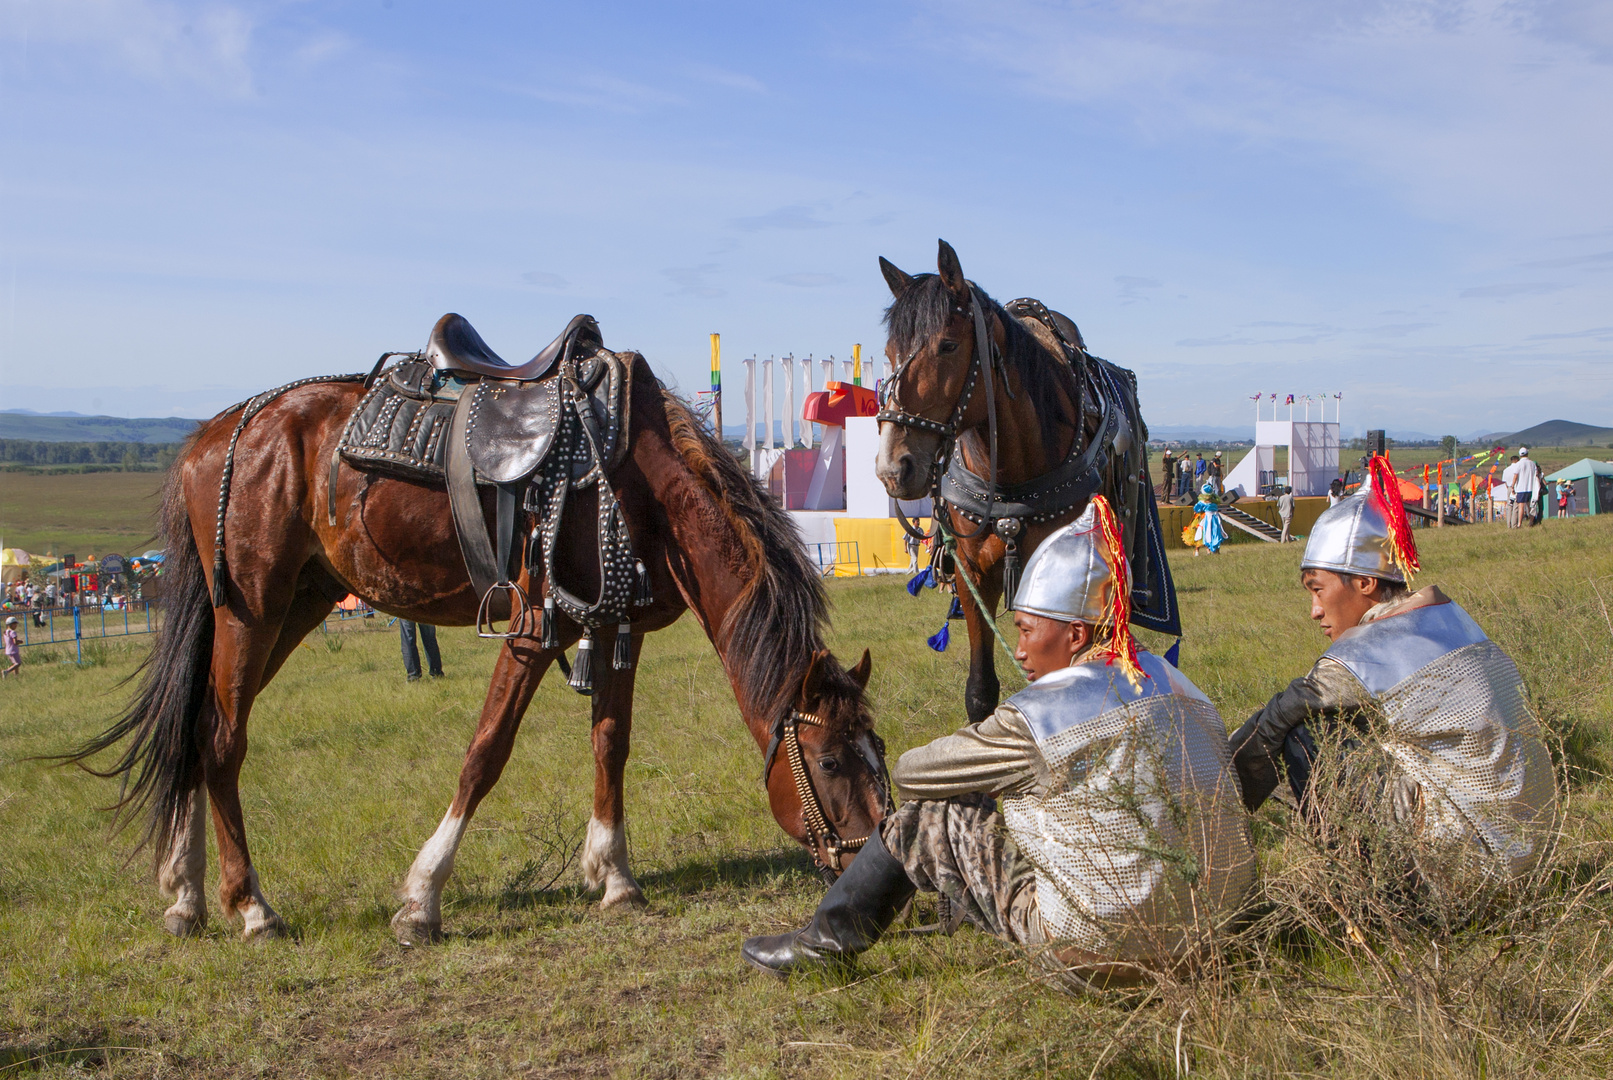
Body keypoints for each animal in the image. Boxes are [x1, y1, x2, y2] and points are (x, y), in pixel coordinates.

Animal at [69, 351, 890, 941]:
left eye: (877, 751)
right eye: (826, 762)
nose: (866, 871)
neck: (634, 483)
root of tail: (215, 434)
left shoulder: (611, 628)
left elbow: (610, 745)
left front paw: (615, 878)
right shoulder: (533, 630)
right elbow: (485, 752)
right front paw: (421, 900)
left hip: (293, 607)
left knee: (194, 730)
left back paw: (185, 897)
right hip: (253, 611)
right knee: (221, 739)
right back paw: (250, 906)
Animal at [877, 238, 1180, 728]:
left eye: (947, 345)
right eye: (888, 352)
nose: (893, 468)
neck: (1010, 475)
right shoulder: (974, 576)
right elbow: (981, 689)